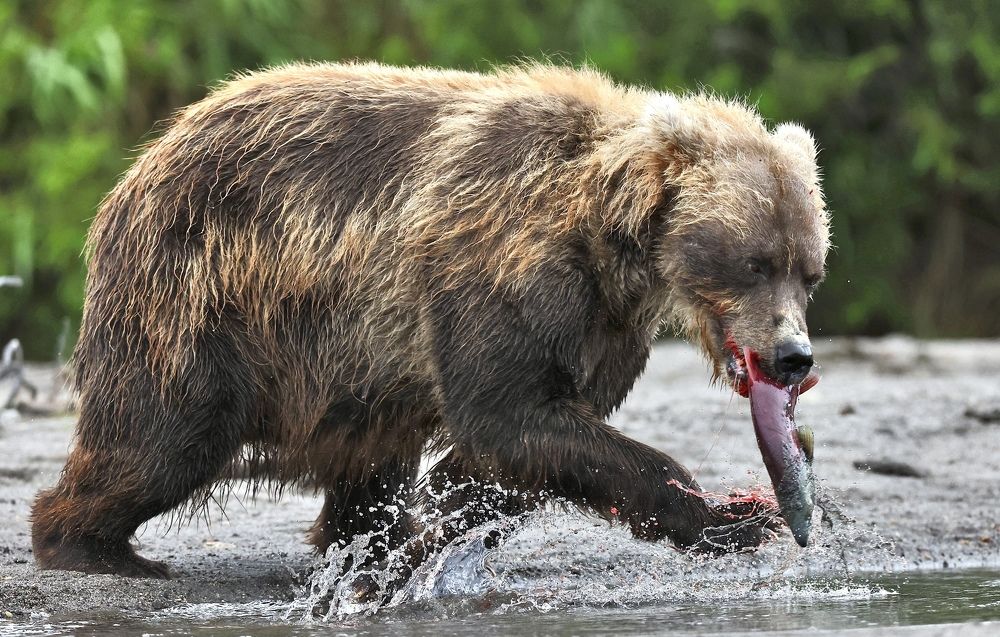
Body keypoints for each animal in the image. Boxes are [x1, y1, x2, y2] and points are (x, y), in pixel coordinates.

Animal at [31, 62, 828, 585]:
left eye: (811, 269)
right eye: (755, 262)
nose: (794, 355)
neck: (613, 239)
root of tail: (143, 163)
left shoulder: (601, 323)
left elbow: (520, 443)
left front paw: (433, 524)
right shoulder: (501, 261)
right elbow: (508, 414)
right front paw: (731, 513)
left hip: (342, 357)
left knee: (366, 444)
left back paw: (367, 538)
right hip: (202, 298)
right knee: (161, 437)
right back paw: (97, 546)